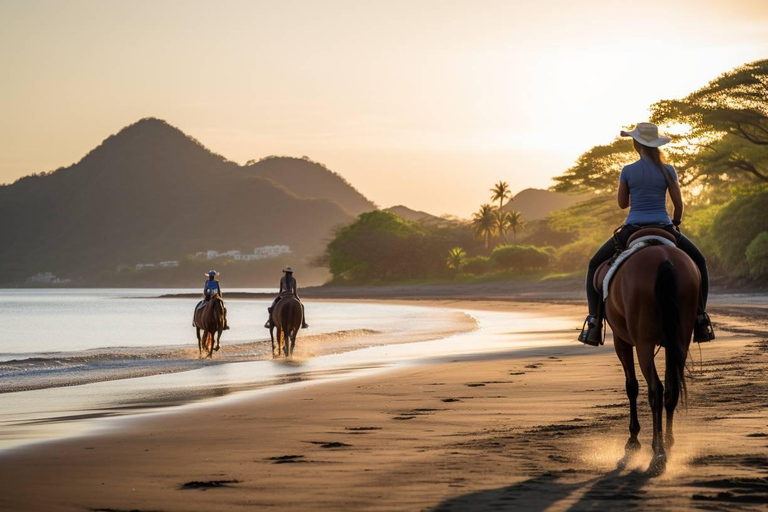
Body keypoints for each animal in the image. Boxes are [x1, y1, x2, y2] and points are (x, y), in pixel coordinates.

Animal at [608, 242, 704, 474]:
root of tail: (664, 257)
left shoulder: (621, 341)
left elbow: (631, 387)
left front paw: (633, 440)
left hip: (643, 342)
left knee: (655, 389)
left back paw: (657, 452)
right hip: (681, 336)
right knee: (671, 389)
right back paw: (666, 445)